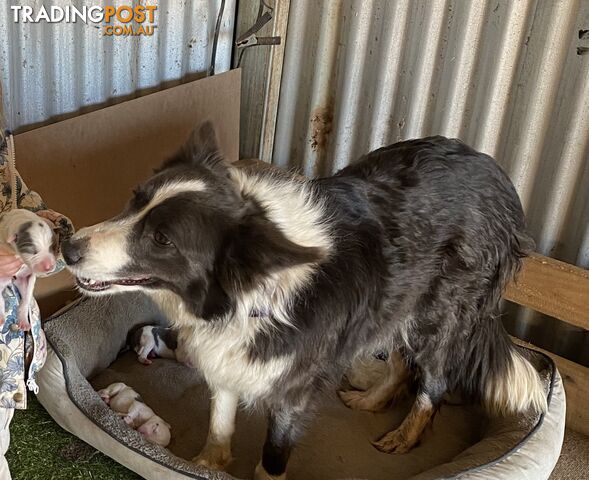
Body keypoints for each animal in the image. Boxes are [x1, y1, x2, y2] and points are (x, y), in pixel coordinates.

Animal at [62, 123, 544, 480]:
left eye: (162, 239)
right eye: (134, 199)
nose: (67, 248)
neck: (248, 292)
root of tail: (498, 177)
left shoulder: (293, 388)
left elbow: (273, 456)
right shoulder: (228, 356)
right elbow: (219, 420)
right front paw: (207, 465)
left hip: (437, 314)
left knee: (434, 381)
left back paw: (405, 434)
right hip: (394, 305)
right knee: (400, 364)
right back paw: (371, 402)